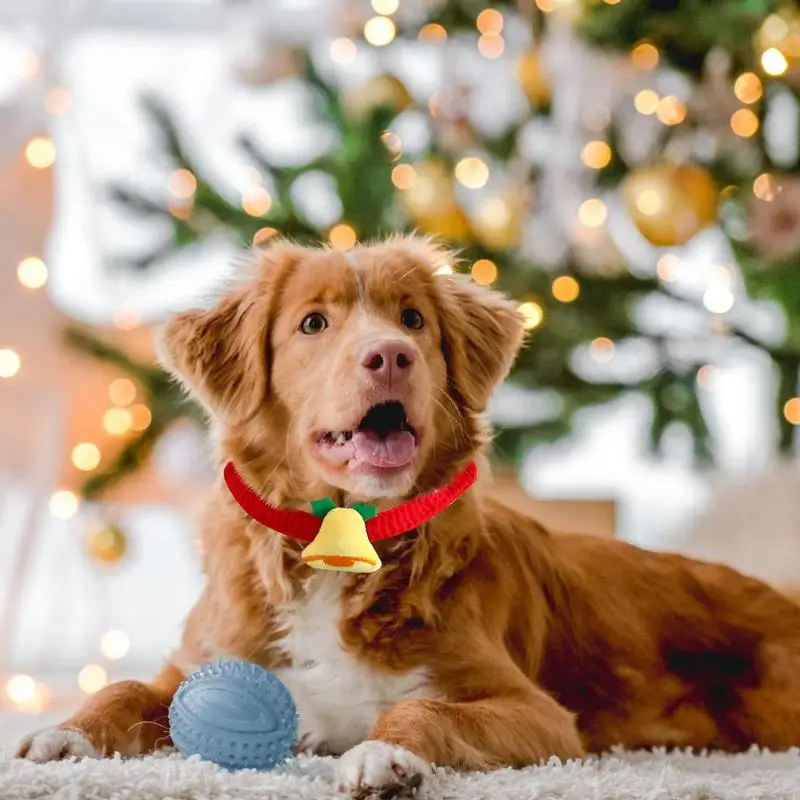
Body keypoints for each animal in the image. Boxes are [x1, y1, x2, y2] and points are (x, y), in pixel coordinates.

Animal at [14, 236, 800, 792]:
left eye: (413, 319)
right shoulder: (199, 663)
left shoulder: (541, 716)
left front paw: (384, 754)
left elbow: (422, 707)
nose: (389, 355)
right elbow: (122, 685)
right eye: (313, 323)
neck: (343, 549)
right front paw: (64, 736)